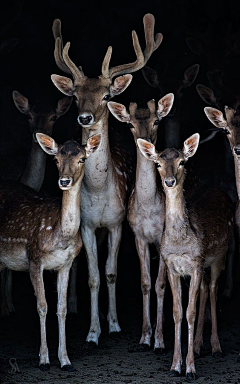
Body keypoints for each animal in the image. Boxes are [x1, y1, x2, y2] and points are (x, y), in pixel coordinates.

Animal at [0, 131, 101, 368]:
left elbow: (61, 308)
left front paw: (65, 360)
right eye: (55, 160)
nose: (64, 181)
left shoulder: (65, 264)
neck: (59, 236)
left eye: (82, 159)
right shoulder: (34, 259)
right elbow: (42, 306)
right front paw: (44, 359)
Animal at [50, 12, 163, 344]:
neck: (100, 192)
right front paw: (92, 331)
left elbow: (111, 272)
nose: (85, 117)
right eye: (76, 94)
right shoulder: (87, 224)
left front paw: (113, 324)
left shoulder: (116, 223)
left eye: (106, 94)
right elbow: (93, 277)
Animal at [109, 92, 174, 352]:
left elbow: (161, 284)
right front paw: (145, 338)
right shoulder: (138, 235)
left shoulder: (163, 236)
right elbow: (146, 283)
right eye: (130, 124)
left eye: (156, 120)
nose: (144, 140)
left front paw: (160, 341)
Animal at [138, 134, 233, 380]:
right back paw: (199, 346)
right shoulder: (174, 267)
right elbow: (177, 313)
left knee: (212, 290)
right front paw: (175, 365)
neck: (181, 243)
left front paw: (190, 369)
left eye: (182, 161)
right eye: (158, 163)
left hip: (220, 255)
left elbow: (190, 312)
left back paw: (215, 347)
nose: (169, 181)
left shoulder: (196, 263)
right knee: (204, 290)